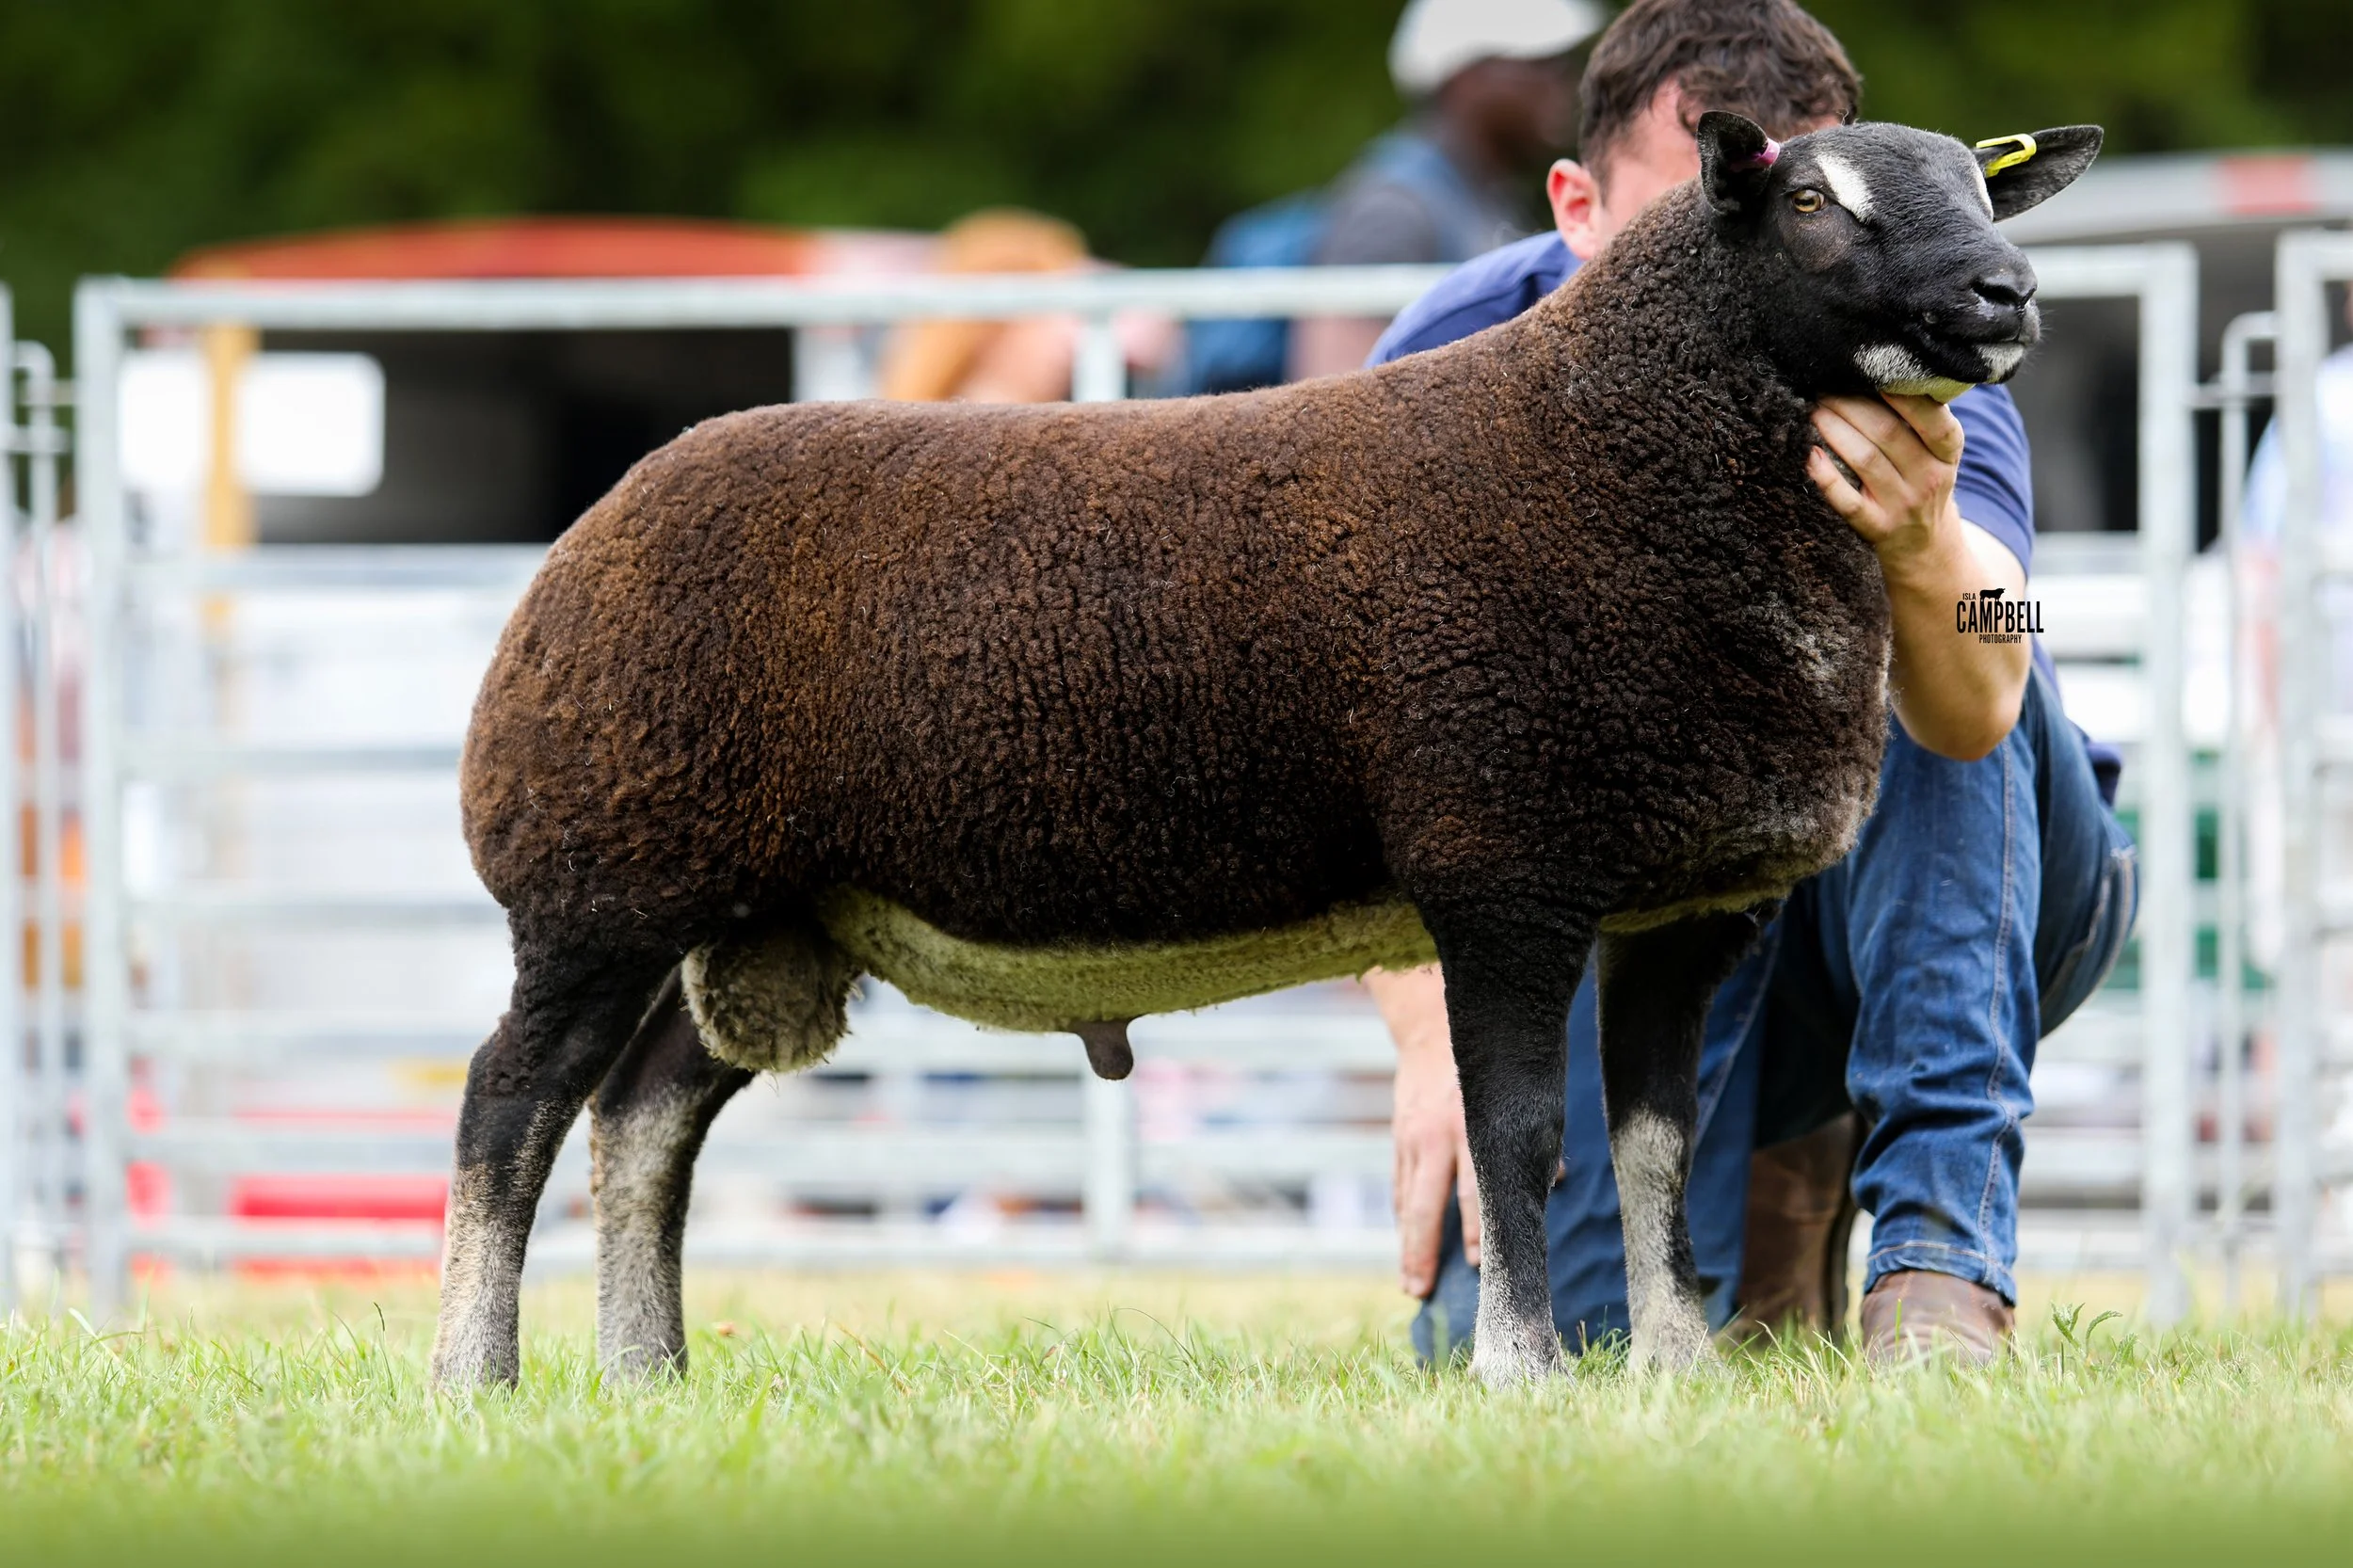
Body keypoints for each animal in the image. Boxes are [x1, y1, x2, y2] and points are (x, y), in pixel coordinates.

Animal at [430, 113, 2101, 1390]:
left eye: (1979, 183)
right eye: (1816, 202)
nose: (2008, 293)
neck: (1631, 453)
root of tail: (590, 533)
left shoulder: (1689, 909)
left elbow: (1655, 1151)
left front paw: (1675, 1370)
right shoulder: (1504, 868)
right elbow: (1516, 1139)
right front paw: (1521, 1372)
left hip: (756, 909)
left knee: (645, 1120)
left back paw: (649, 1375)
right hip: (601, 876)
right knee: (509, 1108)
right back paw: (476, 1376)